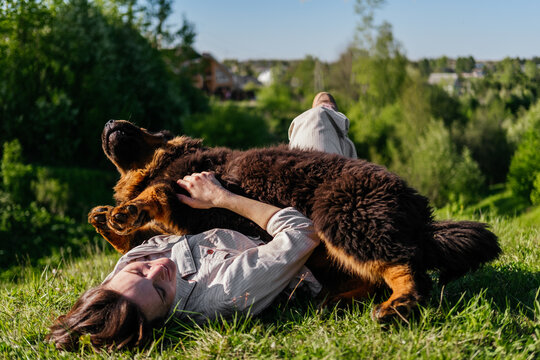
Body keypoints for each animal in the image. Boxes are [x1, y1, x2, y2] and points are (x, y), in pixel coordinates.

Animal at [89, 119, 502, 322]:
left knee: (407, 269)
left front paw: (124, 210)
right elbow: (131, 237)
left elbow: (153, 196)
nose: (109, 121)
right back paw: (337, 302)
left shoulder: (184, 190)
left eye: (149, 128)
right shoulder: (171, 222)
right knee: (374, 277)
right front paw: (104, 218)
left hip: (343, 214)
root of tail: (418, 212)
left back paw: (397, 306)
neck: (161, 163)